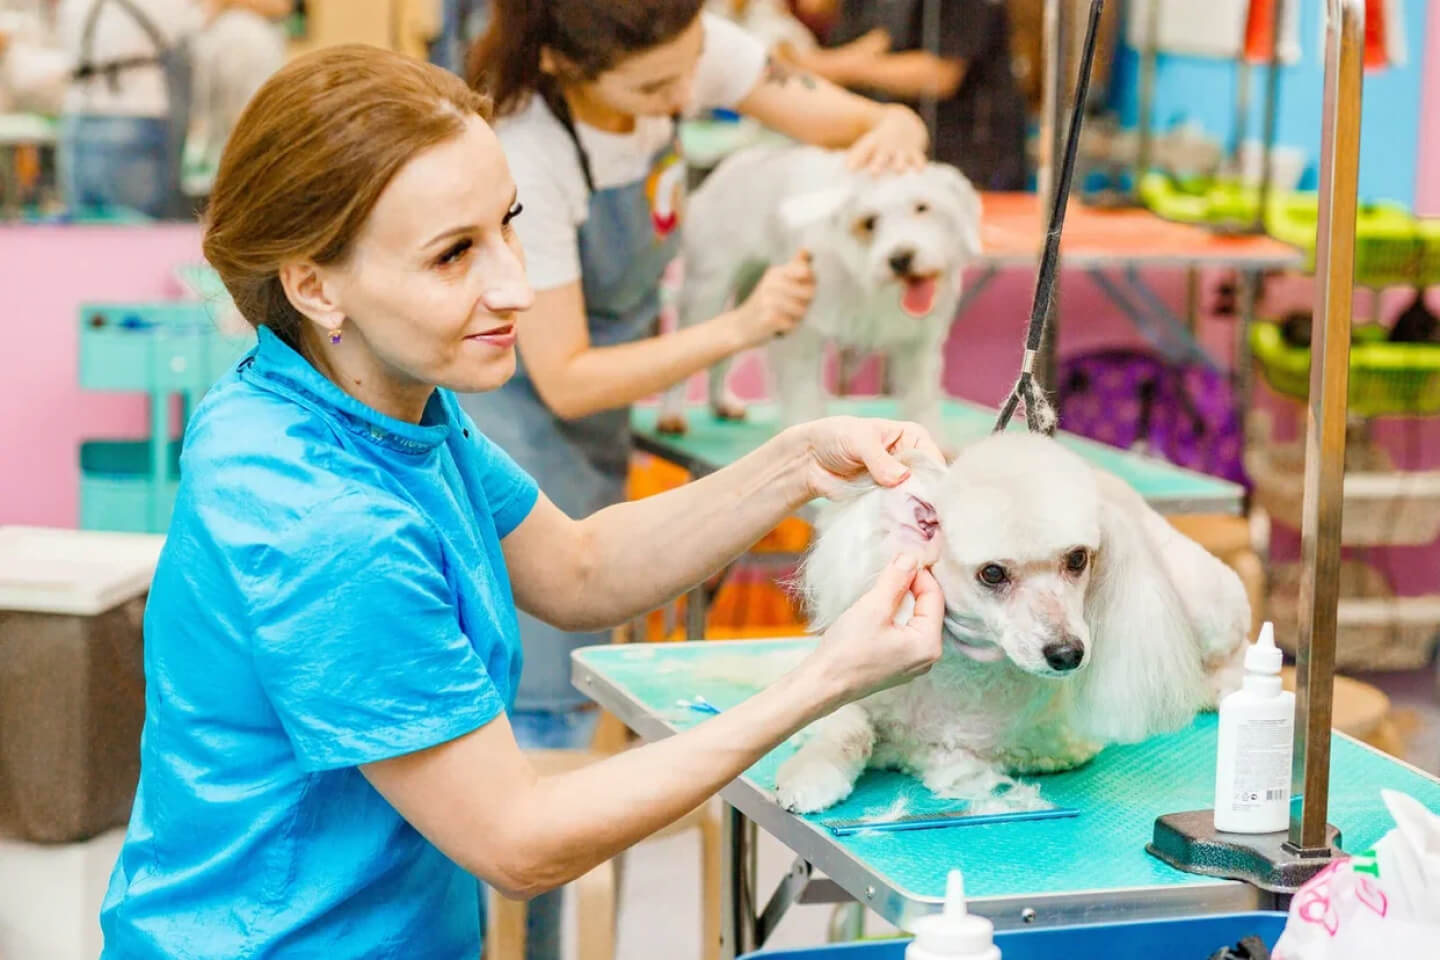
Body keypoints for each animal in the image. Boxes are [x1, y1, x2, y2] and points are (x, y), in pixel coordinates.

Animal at [659, 144, 979, 437]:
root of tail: (736, 161)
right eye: (869, 222)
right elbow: (803, 396)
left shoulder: (917, 346)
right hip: (707, 294)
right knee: (686, 351)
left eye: (922, 207)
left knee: (722, 356)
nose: (900, 258)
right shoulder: (803, 335)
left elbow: (920, 400)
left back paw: (720, 402)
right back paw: (672, 415)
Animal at [771, 431, 1255, 817]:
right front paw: (810, 773)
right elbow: (846, 726)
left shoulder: (1053, 747)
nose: (1067, 654)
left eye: (1077, 558)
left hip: (1207, 600)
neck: (967, 677)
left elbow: (949, 753)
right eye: (992, 573)